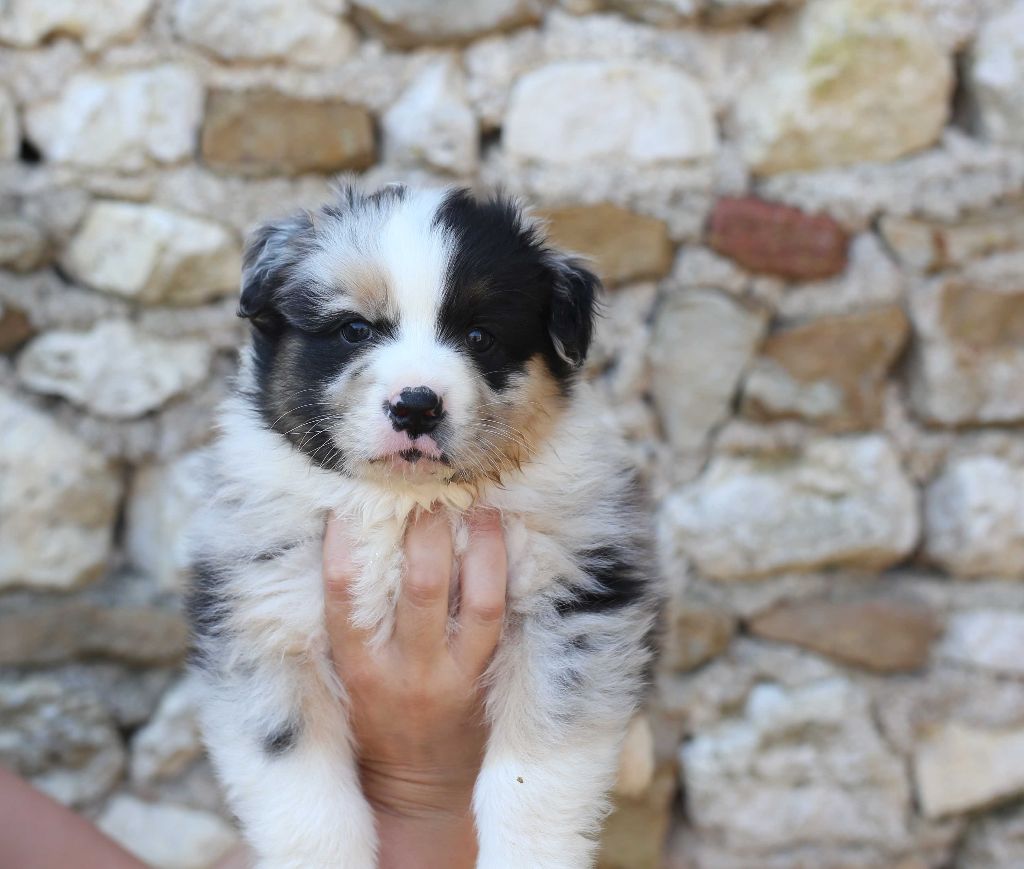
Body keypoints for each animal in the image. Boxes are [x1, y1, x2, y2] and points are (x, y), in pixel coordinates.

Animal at [187, 183, 662, 868]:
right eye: (354, 330)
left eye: (480, 336)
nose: (416, 405)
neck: (407, 506)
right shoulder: (263, 621)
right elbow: (302, 791)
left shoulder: (574, 600)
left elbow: (538, 771)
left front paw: (528, 851)